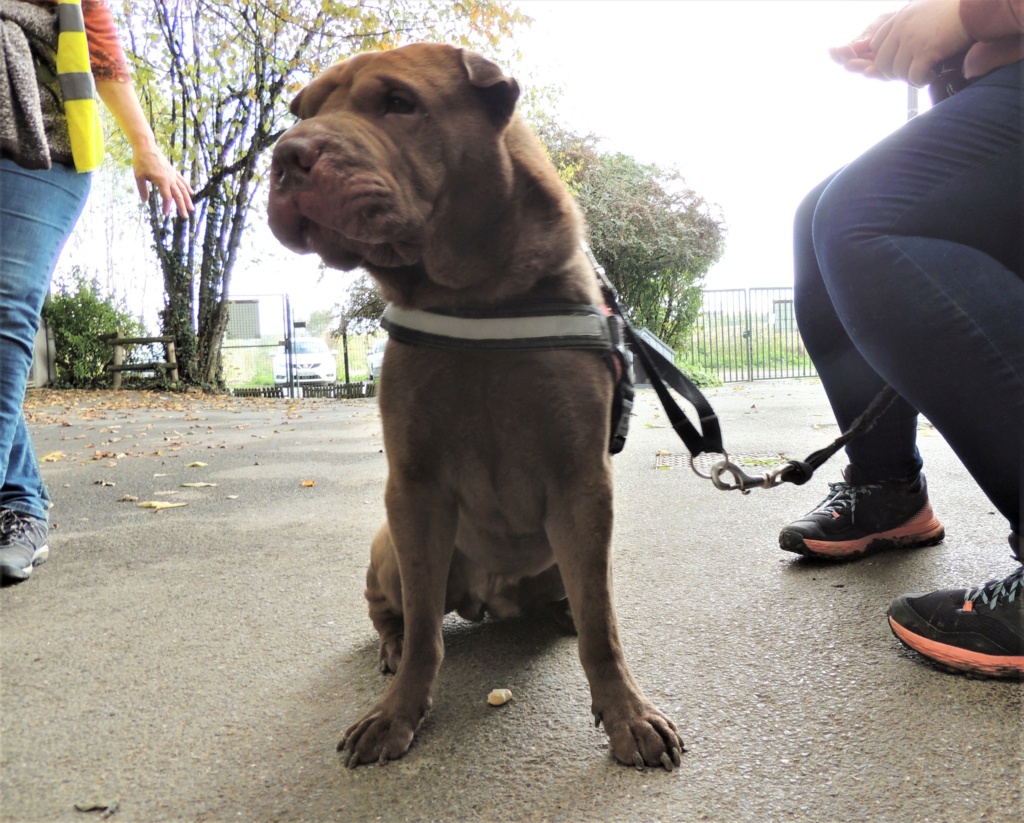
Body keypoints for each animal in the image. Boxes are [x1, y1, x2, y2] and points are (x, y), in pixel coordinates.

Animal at [272, 41, 684, 769]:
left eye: (398, 102)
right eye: (301, 111)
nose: (286, 155)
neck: (477, 296)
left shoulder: (583, 483)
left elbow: (603, 625)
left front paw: (628, 714)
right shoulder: (413, 486)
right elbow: (423, 637)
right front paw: (396, 713)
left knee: (577, 603)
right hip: (390, 542)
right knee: (399, 614)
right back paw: (389, 645)